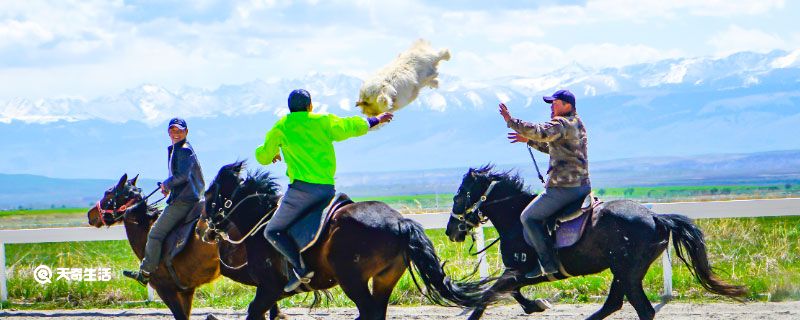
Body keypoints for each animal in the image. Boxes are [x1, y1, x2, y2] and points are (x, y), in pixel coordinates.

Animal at [200, 162, 488, 320]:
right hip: (385, 278)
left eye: (210, 195)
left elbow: (254, 312)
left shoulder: (270, 288)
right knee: (377, 312)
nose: (204, 230)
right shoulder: (274, 292)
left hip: (352, 279)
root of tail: (399, 221)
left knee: (369, 312)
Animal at [444, 165, 744, 320]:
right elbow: (508, 292)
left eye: (458, 196)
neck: (516, 220)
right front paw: (536, 305)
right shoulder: (517, 274)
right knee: (615, 304)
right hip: (624, 272)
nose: (450, 231)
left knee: (640, 309)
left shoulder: (519, 271)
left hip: (627, 271)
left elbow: (488, 294)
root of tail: (656, 216)